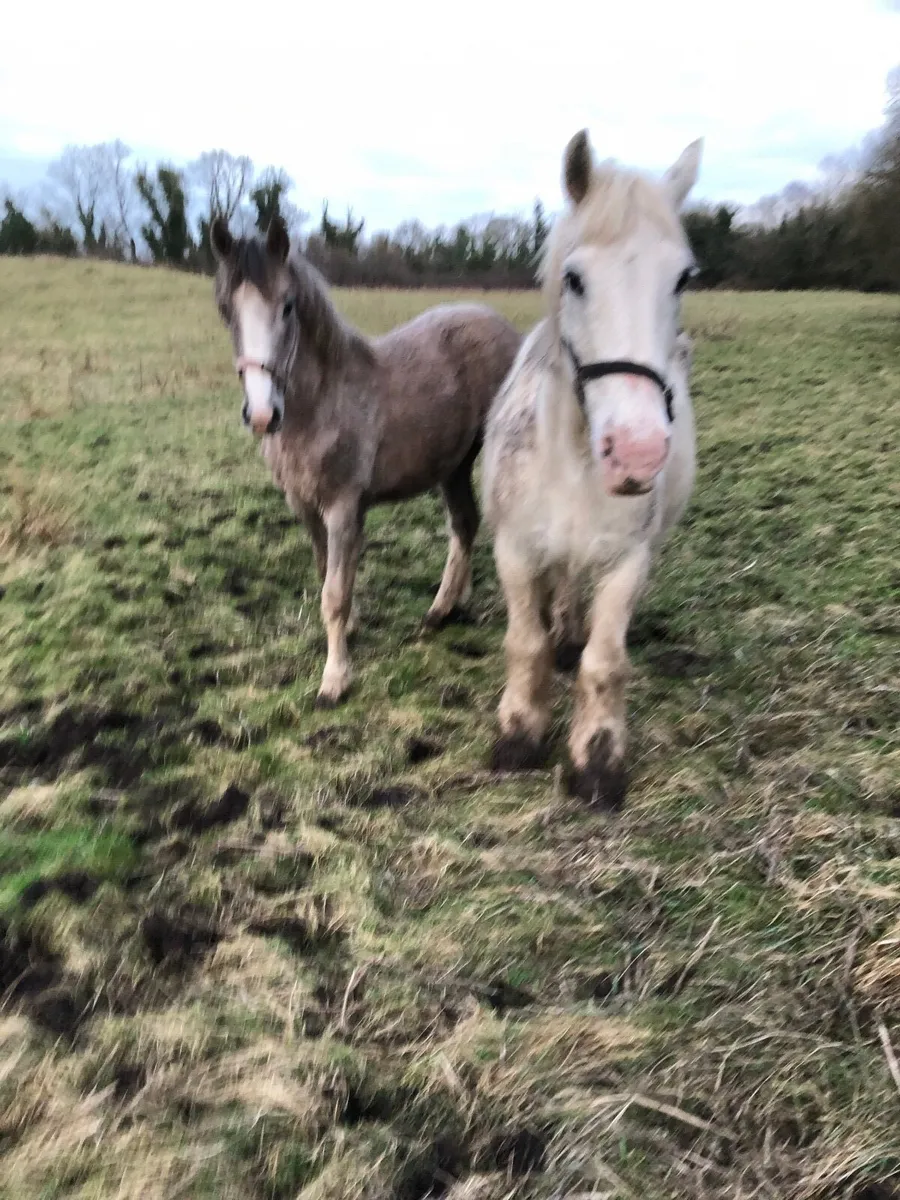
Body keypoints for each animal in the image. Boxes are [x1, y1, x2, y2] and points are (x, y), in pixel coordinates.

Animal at [209, 216, 521, 707]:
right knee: (464, 523)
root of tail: (505, 328)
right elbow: (327, 574)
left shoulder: (341, 507)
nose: (261, 414)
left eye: (288, 306)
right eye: (225, 309)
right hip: (452, 466)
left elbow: (334, 593)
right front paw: (352, 629)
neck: (323, 403)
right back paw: (449, 605)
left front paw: (335, 679)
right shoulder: (304, 506)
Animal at [482, 130, 702, 809]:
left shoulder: (627, 561)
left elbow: (604, 663)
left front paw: (597, 760)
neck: (574, 462)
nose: (635, 450)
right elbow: (524, 643)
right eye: (574, 279)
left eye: (682, 279)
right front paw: (519, 733)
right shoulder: (515, 550)